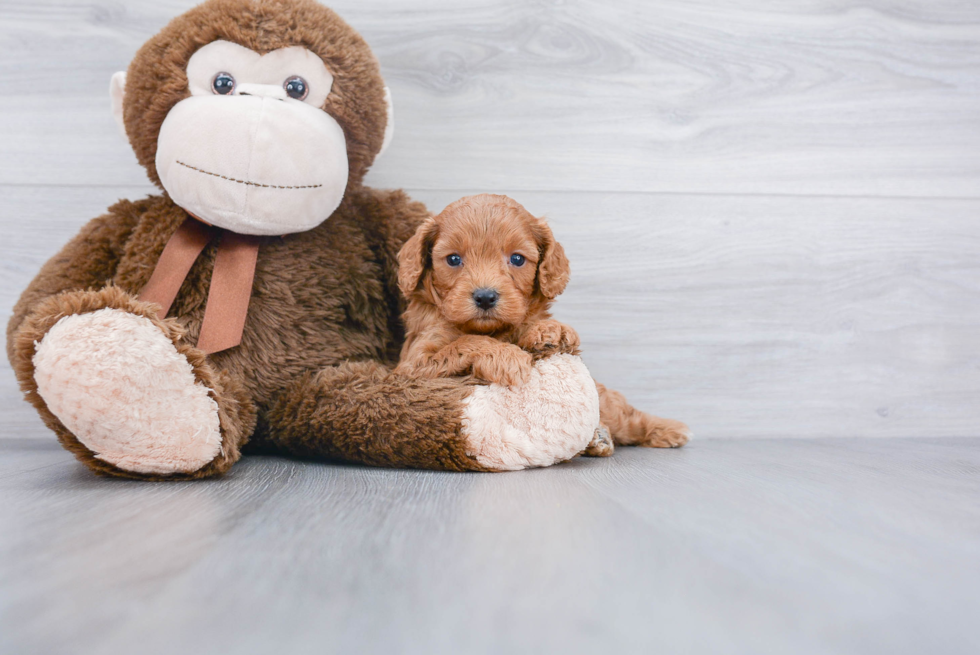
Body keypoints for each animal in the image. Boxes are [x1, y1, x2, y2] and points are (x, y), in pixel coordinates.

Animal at [392, 192, 688, 454]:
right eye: (453, 259)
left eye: (517, 259)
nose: (485, 297)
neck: (492, 329)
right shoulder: (412, 365)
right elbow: (466, 342)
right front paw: (507, 357)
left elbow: (528, 324)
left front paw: (552, 331)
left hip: (607, 402)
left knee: (624, 415)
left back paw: (663, 429)